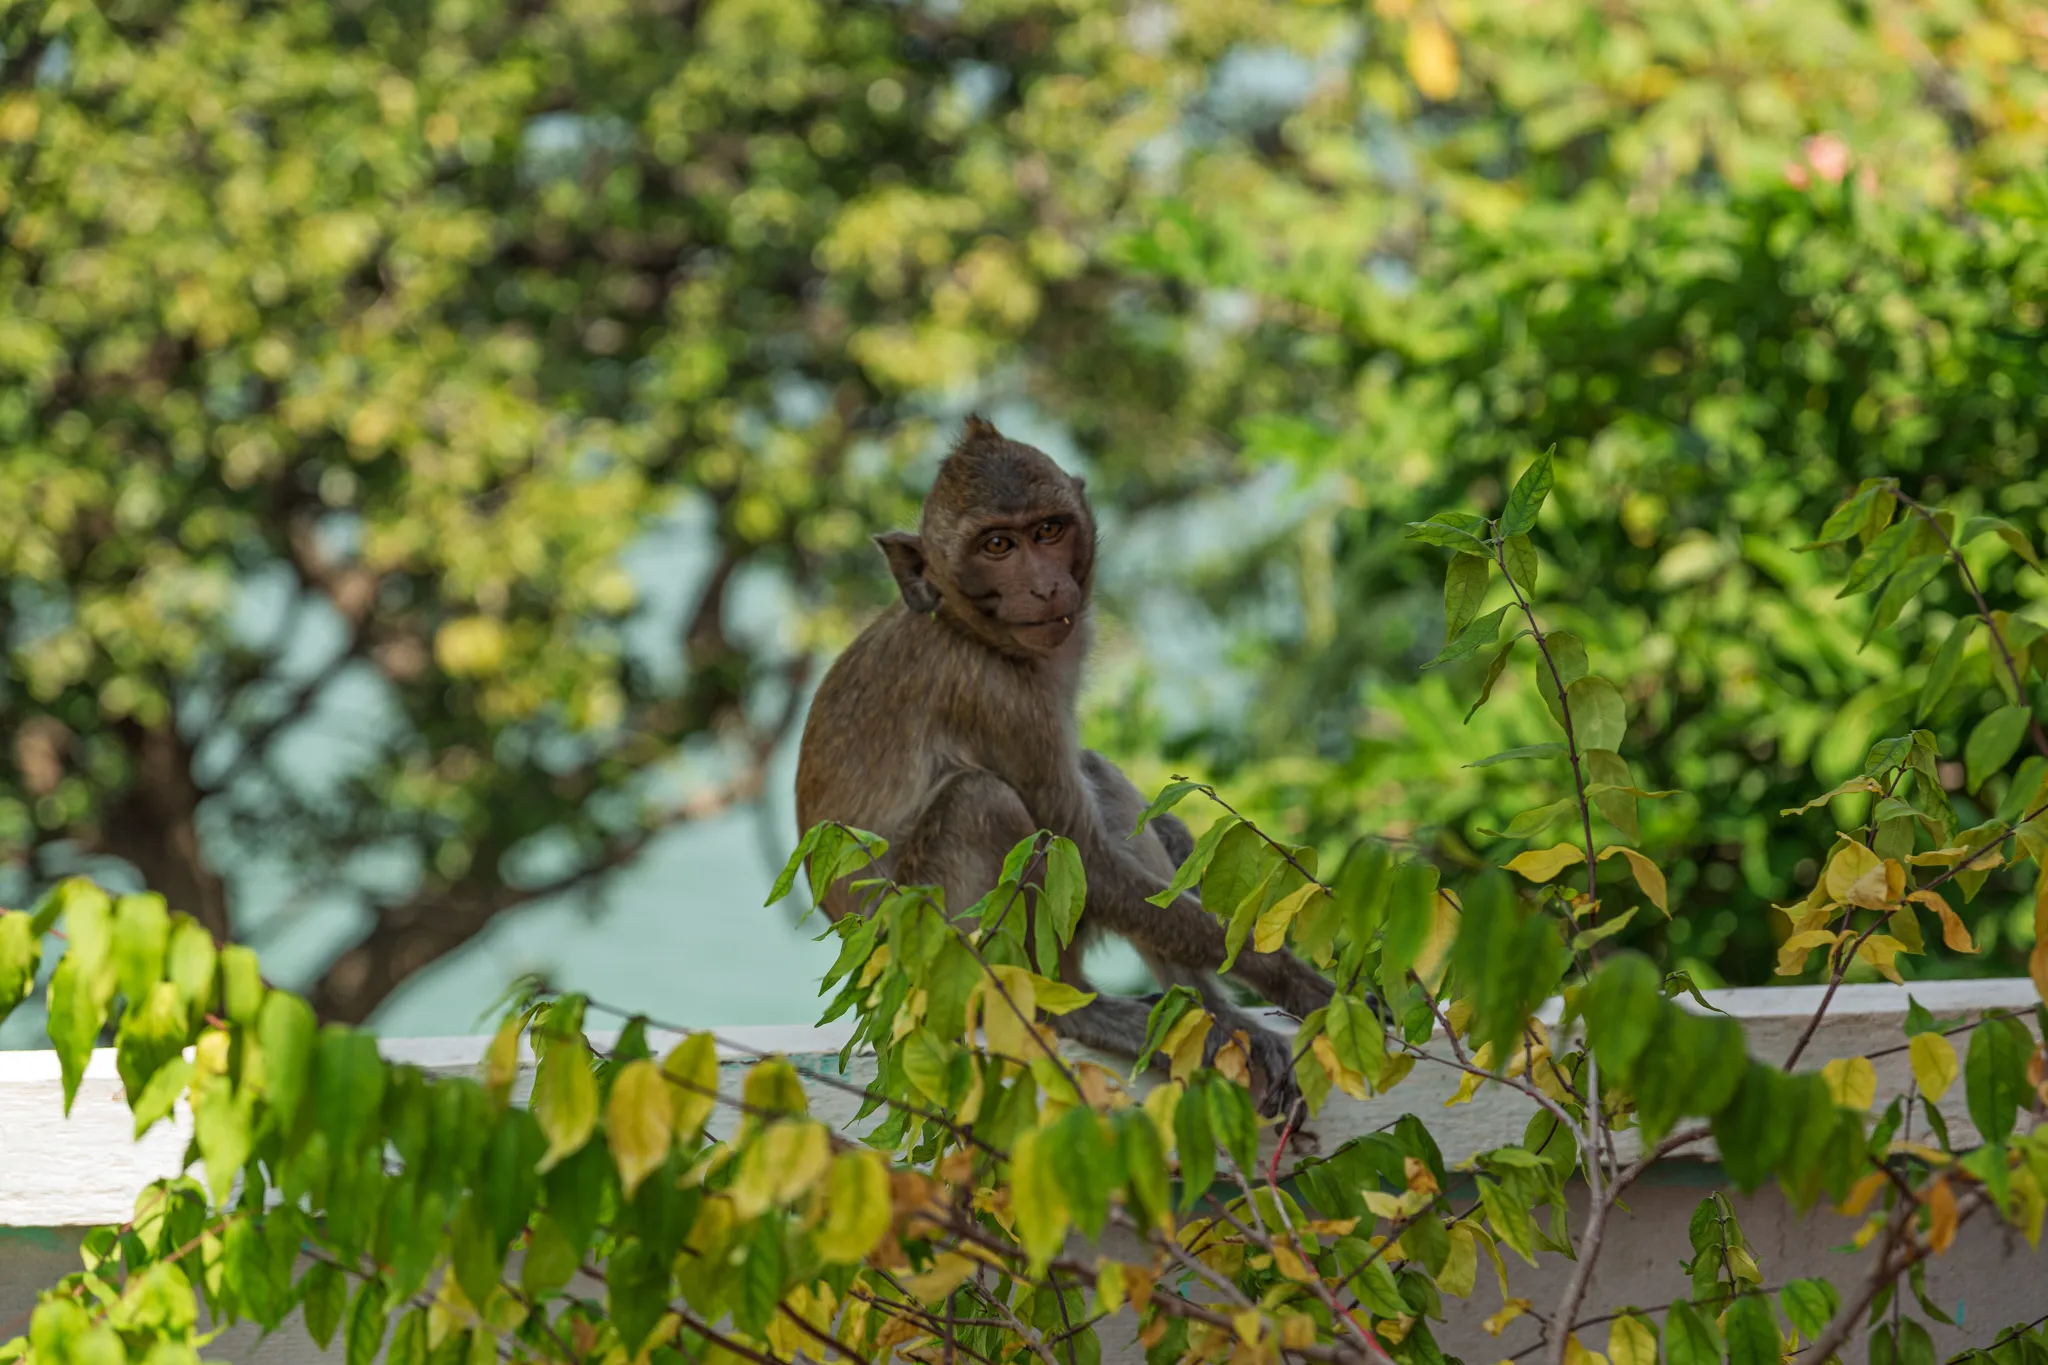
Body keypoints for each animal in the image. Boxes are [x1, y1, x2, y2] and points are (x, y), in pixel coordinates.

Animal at [793, 416, 1335, 1118]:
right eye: (997, 545)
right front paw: (1300, 985)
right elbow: (1090, 863)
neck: (969, 629)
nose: (1046, 586)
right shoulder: (998, 697)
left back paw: (1204, 1014)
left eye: (1048, 531)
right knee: (983, 803)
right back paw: (1066, 1010)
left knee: (1090, 778)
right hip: (928, 952)